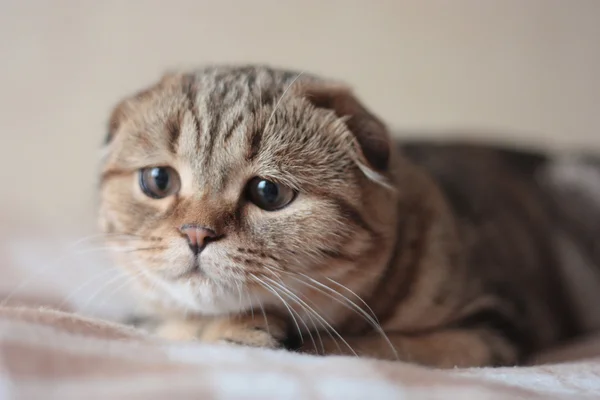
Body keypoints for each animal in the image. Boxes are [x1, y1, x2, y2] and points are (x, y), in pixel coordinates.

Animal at [99, 64, 600, 368]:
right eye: (158, 181)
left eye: (269, 192)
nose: (196, 233)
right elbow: (165, 323)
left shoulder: (492, 324)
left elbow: (381, 346)